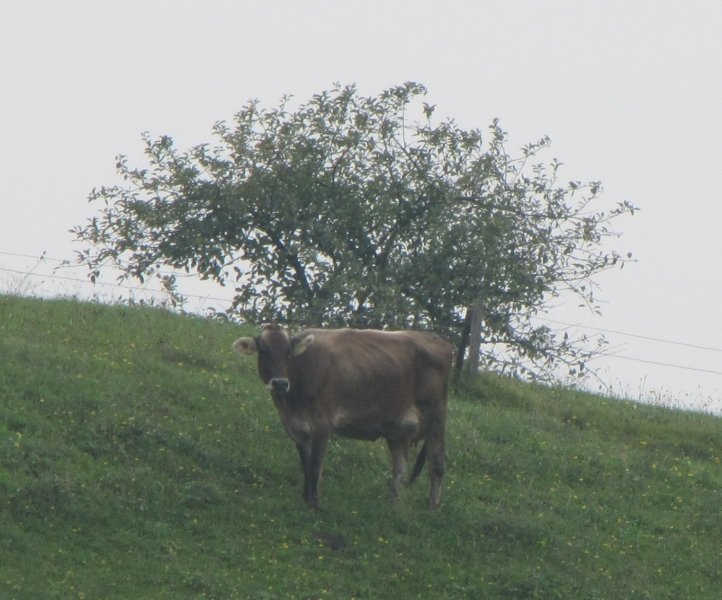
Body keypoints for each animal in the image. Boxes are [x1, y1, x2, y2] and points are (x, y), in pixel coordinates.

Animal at [232, 326, 450, 508]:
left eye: (288, 353)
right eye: (263, 351)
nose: (279, 383)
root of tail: (438, 339)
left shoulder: (323, 423)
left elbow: (315, 466)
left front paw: (315, 504)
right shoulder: (296, 426)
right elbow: (306, 464)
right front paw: (305, 498)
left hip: (435, 416)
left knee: (436, 464)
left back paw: (432, 506)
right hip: (396, 427)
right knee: (400, 468)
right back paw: (391, 503)